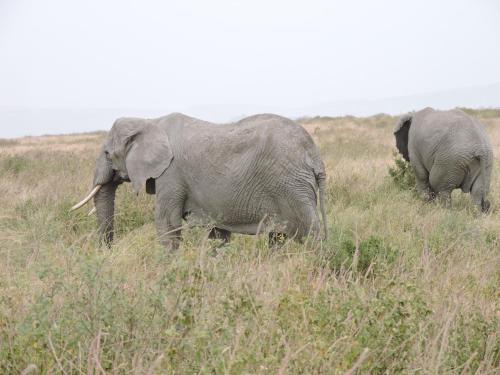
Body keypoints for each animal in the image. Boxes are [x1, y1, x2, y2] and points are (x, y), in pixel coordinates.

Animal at [71, 113, 328, 251]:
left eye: (107, 153)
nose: (107, 255)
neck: (150, 122)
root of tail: (314, 154)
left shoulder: (171, 174)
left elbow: (167, 223)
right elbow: (217, 234)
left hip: (291, 185)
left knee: (311, 234)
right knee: (278, 237)